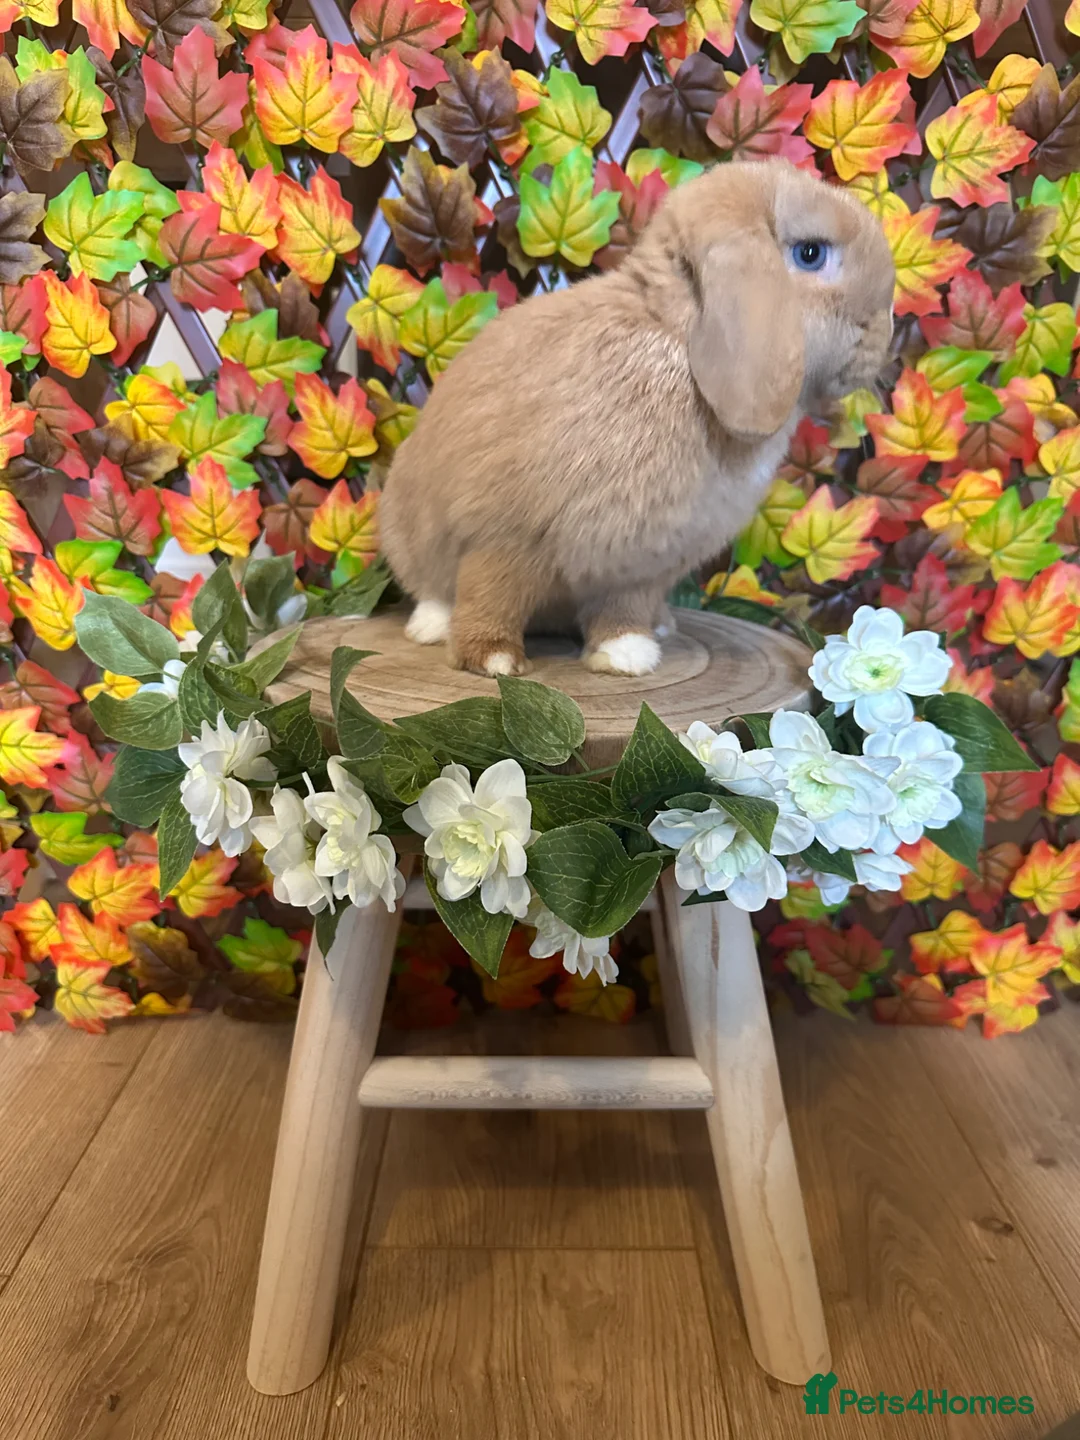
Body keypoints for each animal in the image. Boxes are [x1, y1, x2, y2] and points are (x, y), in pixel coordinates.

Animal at [380, 158, 895, 678]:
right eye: (811, 253)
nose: (887, 328)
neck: (674, 337)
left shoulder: (638, 562)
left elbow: (620, 610)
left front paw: (625, 656)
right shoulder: (502, 535)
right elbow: (491, 592)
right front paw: (493, 659)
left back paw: (659, 626)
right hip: (409, 531)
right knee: (435, 587)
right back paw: (432, 626)